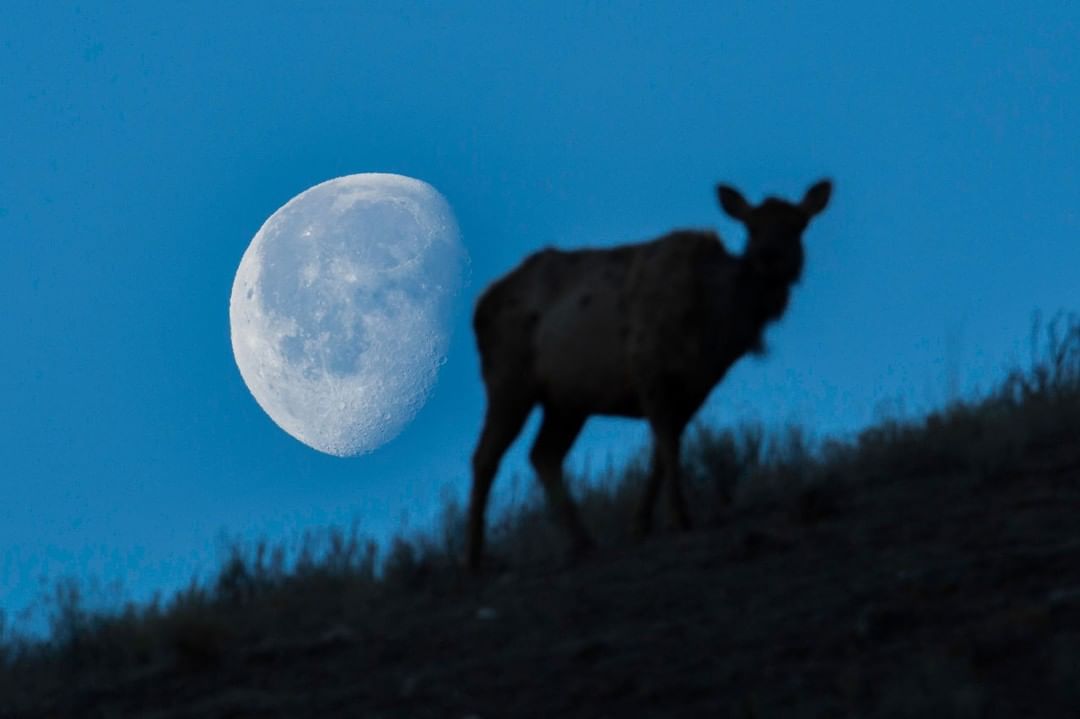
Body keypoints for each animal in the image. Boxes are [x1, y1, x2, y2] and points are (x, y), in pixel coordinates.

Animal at [462, 178, 825, 565]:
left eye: (799, 224)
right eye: (751, 226)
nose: (769, 257)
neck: (715, 325)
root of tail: (479, 307)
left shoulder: (696, 387)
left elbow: (663, 450)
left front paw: (642, 525)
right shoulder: (647, 366)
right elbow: (666, 443)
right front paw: (678, 518)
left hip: (567, 401)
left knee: (543, 454)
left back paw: (583, 541)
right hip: (508, 380)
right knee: (485, 456)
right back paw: (474, 557)